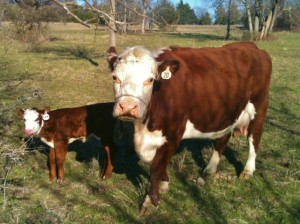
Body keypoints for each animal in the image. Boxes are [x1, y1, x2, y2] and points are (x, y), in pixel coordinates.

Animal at [107, 42, 272, 215]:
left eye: (150, 80)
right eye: (114, 77)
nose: (127, 107)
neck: (145, 126)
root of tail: (251, 46)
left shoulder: (174, 133)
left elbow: (156, 167)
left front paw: (151, 201)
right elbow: (157, 164)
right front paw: (164, 184)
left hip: (259, 107)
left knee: (254, 137)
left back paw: (248, 170)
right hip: (226, 113)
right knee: (223, 139)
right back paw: (210, 169)